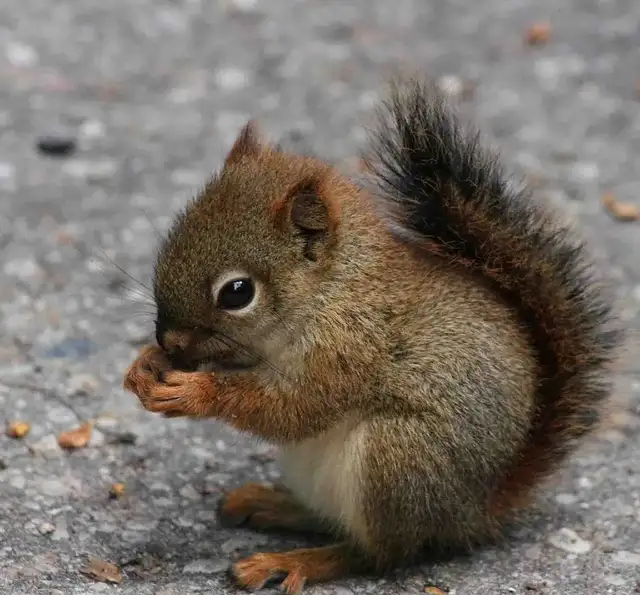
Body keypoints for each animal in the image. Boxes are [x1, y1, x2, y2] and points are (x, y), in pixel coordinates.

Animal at [124, 80, 620, 595]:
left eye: (237, 293)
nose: (170, 340)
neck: (332, 289)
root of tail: (473, 513)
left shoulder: (348, 349)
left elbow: (293, 409)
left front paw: (195, 392)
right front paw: (145, 366)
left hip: (397, 458)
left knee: (378, 554)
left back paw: (297, 561)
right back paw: (273, 504)